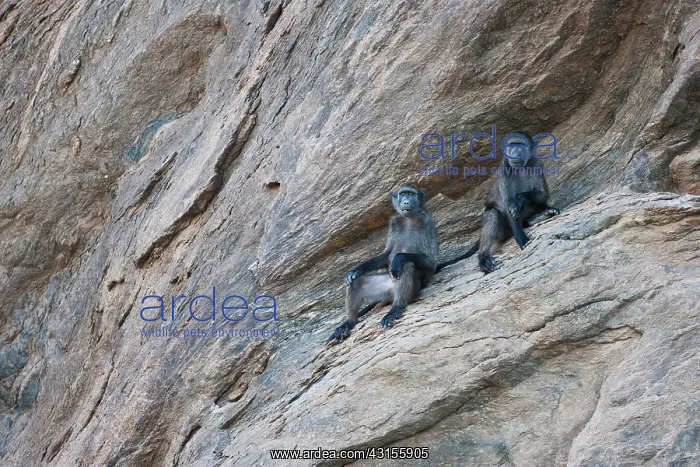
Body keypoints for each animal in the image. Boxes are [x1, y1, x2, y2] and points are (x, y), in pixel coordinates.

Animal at [328, 184, 439, 343]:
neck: (408, 219)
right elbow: (386, 256)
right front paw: (355, 271)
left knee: (407, 265)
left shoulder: (426, 223)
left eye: (411, 194)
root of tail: (392, 293)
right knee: (356, 282)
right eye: (403, 194)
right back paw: (348, 323)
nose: (406, 202)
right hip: (384, 290)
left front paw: (398, 258)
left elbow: (430, 260)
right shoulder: (394, 224)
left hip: (414, 288)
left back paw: (396, 309)